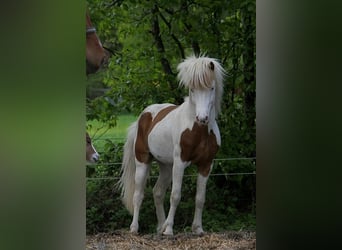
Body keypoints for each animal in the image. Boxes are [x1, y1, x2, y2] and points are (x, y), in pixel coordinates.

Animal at [119, 55, 226, 235]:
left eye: (211, 88)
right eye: (192, 89)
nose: (202, 118)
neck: (199, 130)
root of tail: (143, 116)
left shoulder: (206, 165)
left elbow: (200, 198)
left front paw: (198, 229)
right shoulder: (180, 163)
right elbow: (175, 195)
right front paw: (169, 229)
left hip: (166, 167)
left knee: (157, 192)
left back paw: (160, 227)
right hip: (143, 162)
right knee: (138, 195)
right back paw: (135, 228)